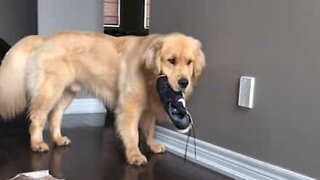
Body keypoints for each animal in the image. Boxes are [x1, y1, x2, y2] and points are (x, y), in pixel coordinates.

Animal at [0, 30, 205, 165]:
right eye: (171, 61)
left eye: (189, 62)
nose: (184, 82)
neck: (150, 75)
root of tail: (44, 38)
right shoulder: (129, 107)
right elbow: (133, 133)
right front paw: (134, 154)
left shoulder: (148, 108)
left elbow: (149, 130)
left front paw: (152, 145)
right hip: (50, 90)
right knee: (37, 117)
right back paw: (37, 143)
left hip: (66, 93)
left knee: (55, 116)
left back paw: (58, 139)